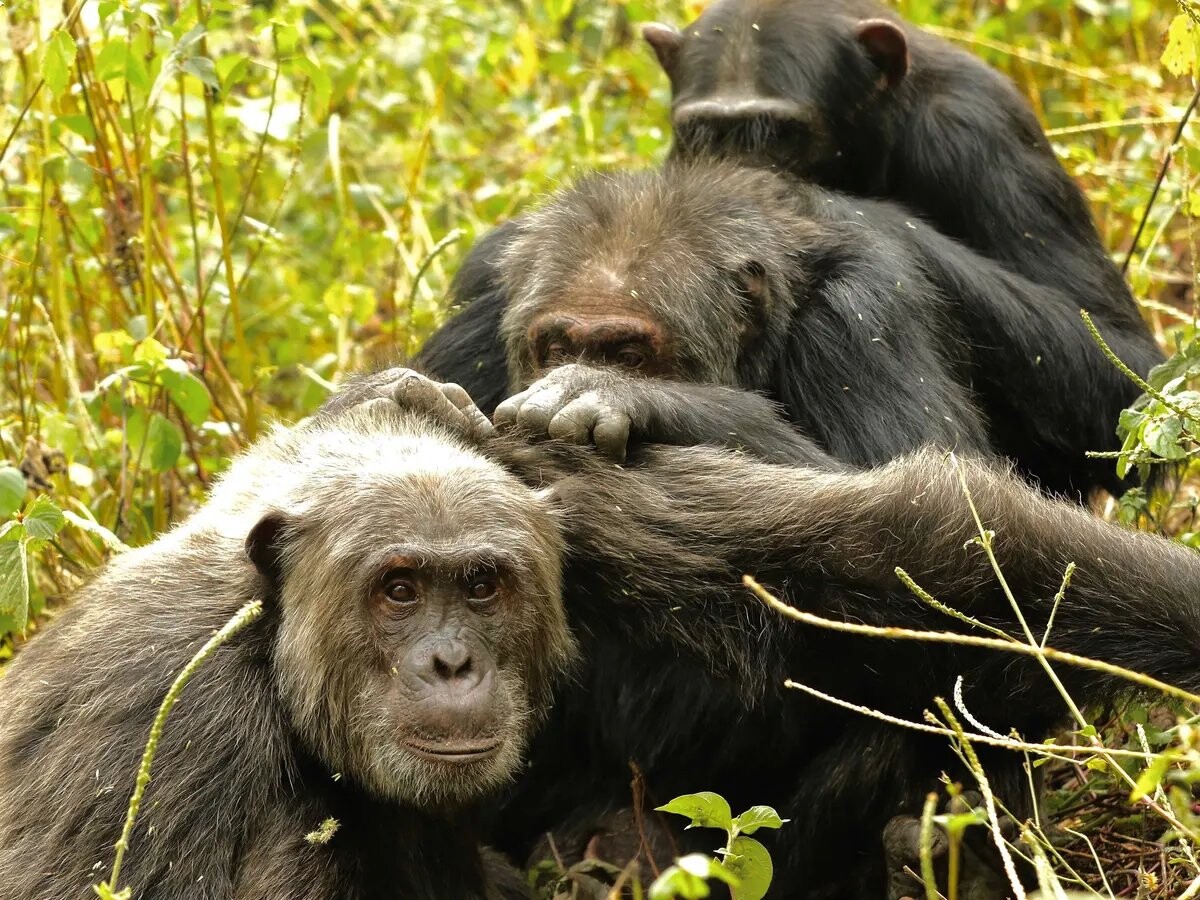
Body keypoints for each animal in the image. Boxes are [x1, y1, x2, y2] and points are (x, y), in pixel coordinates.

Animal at [420, 163, 1161, 501]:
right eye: (555, 345)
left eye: (627, 352)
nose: (568, 369)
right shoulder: (484, 306)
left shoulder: (863, 316)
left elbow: (945, 495)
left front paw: (611, 395)